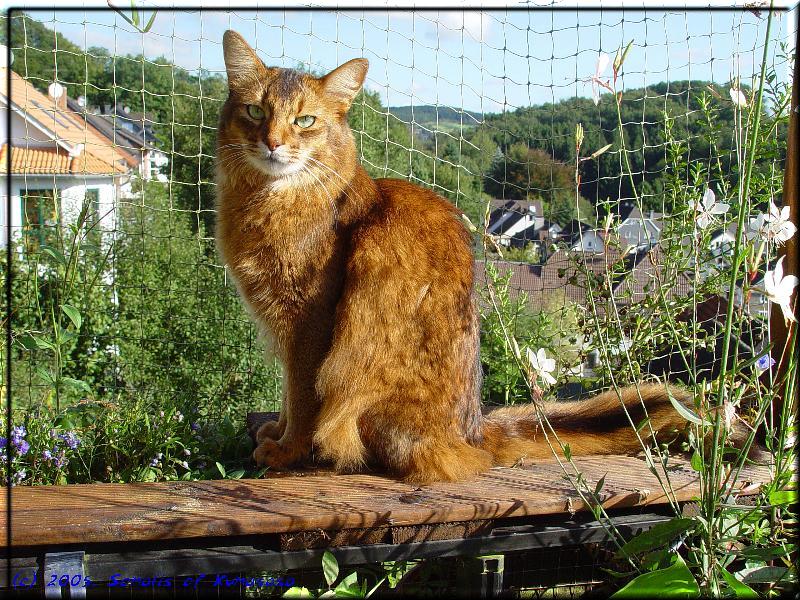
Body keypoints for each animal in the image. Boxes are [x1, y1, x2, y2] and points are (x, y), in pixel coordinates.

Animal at [216, 30, 692, 486]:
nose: (273, 143)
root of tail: (474, 432)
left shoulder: (309, 323)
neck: (266, 201)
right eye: (255, 112)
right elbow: (287, 395)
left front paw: (287, 450)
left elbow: (301, 397)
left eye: (305, 120)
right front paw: (276, 432)